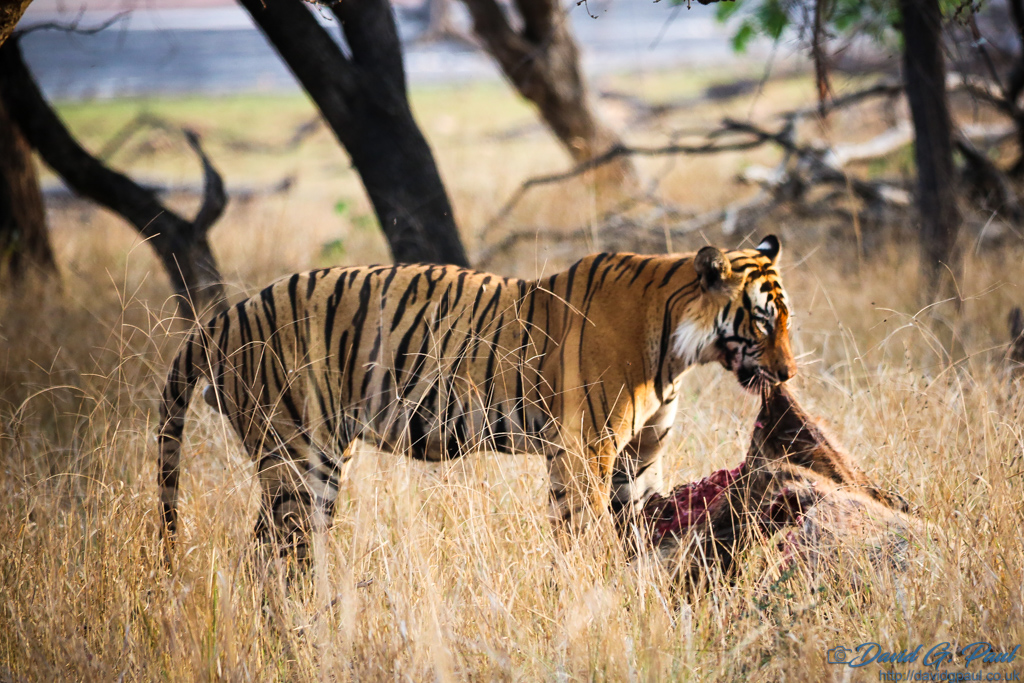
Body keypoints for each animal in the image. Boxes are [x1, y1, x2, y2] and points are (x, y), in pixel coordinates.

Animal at [157, 235, 796, 558]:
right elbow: (584, 532)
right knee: (274, 556)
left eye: (785, 320)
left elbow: (642, 525)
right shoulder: (583, 450)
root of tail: (224, 319)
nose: (788, 374)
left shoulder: (639, 456)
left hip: (315, 457)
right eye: (764, 321)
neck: (677, 350)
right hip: (297, 456)